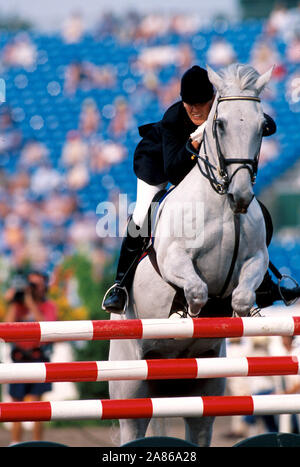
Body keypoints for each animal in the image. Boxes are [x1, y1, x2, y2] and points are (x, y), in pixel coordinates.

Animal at [108, 64, 272, 448]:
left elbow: (242, 297)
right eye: (220, 124)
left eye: (262, 126)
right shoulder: (174, 259)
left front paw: (237, 313)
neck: (222, 204)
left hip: (206, 388)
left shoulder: (255, 260)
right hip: (130, 386)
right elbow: (196, 290)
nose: (242, 196)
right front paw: (184, 316)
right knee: (133, 423)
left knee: (199, 424)